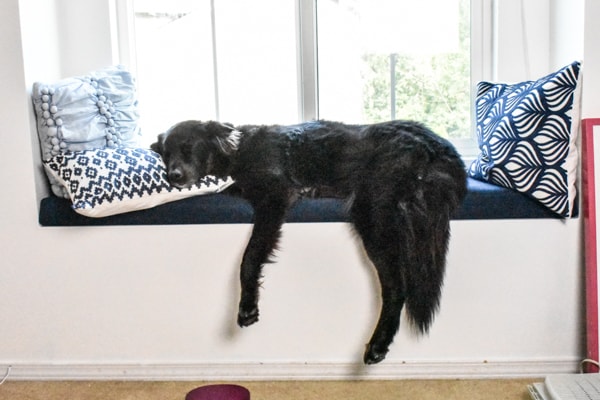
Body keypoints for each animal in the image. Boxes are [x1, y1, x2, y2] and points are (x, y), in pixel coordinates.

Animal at [151, 119, 468, 366]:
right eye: (166, 154)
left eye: (189, 147)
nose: (173, 176)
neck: (238, 151)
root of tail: (440, 146)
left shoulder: (275, 195)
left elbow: (250, 256)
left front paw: (247, 306)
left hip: (372, 208)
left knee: (395, 287)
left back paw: (378, 344)